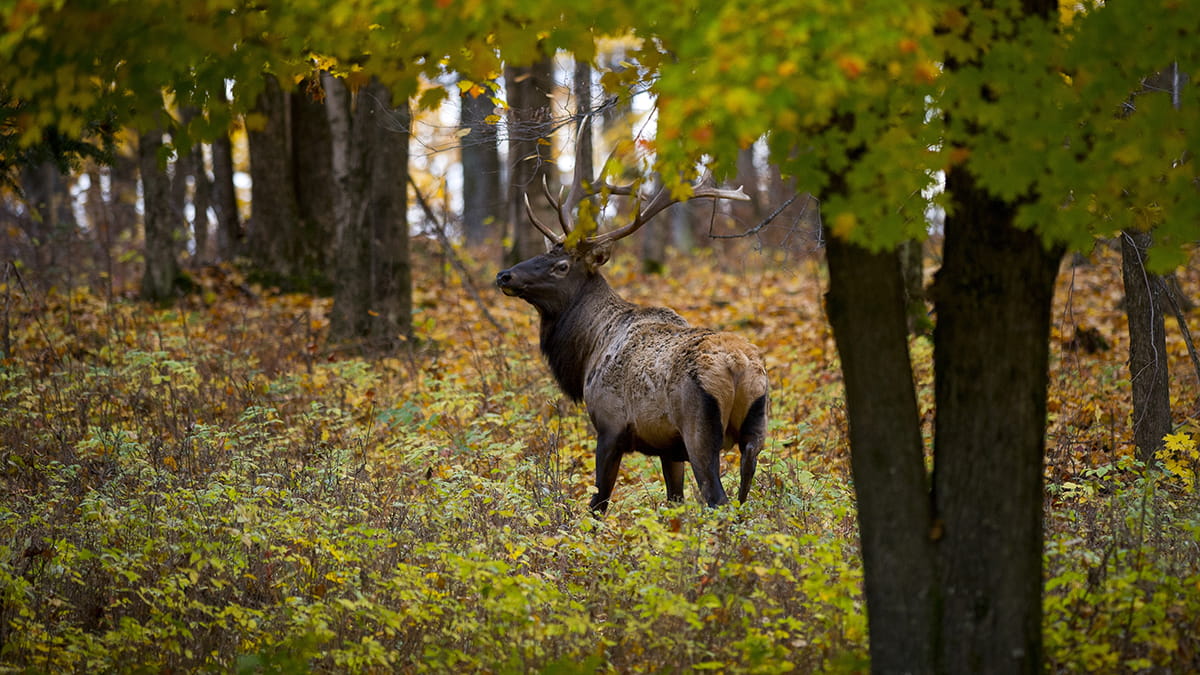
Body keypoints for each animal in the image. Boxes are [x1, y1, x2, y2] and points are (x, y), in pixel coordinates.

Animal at [495, 157, 770, 514]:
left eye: (561, 266)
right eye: (544, 254)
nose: (505, 275)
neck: (589, 351)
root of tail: (737, 367)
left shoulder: (610, 425)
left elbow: (598, 502)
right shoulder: (669, 447)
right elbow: (674, 500)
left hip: (699, 430)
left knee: (717, 498)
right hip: (756, 428)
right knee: (742, 497)